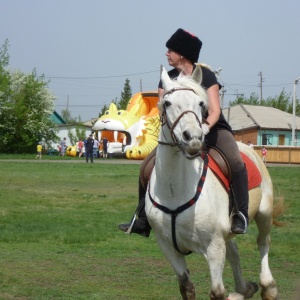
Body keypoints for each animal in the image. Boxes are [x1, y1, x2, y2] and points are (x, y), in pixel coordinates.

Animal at [145, 66, 282, 300]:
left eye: (201, 103)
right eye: (167, 103)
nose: (193, 138)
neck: (174, 191)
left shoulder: (214, 246)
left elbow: (217, 292)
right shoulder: (168, 246)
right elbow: (187, 287)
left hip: (264, 213)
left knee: (263, 243)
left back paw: (267, 286)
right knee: (235, 250)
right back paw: (244, 289)